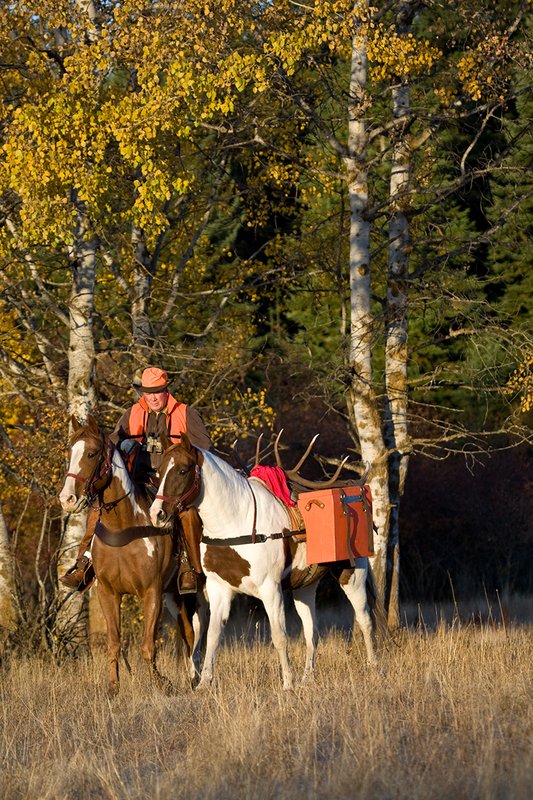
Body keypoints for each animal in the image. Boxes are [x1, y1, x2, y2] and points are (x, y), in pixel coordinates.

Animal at [149, 433, 376, 690]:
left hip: (353, 574)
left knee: (365, 620)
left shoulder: (271, 588)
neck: (237, 520)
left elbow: (279, 636)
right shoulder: (218, 589)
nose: (157, 514)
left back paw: (373, 669)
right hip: (305, 587)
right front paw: (204, 683)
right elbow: (213, 635)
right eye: (158, 470)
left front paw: (288, 682)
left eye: (183, 470)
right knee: (312, 632)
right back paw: (308, 678)